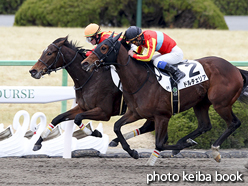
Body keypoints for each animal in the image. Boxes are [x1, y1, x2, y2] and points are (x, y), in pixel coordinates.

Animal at [82, 32, 248, 166]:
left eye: (104, 47)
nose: (85, 63)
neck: (140, 80)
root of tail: (234, 68)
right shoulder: (135, 113)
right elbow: (117, 126)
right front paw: (132, 151)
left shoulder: (162, 116)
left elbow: (160, 144)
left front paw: (181, 147)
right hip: (201, 103)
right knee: (205, 125)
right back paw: (185, 141)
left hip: (220, 103)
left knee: (234, 123)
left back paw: (213, 150)